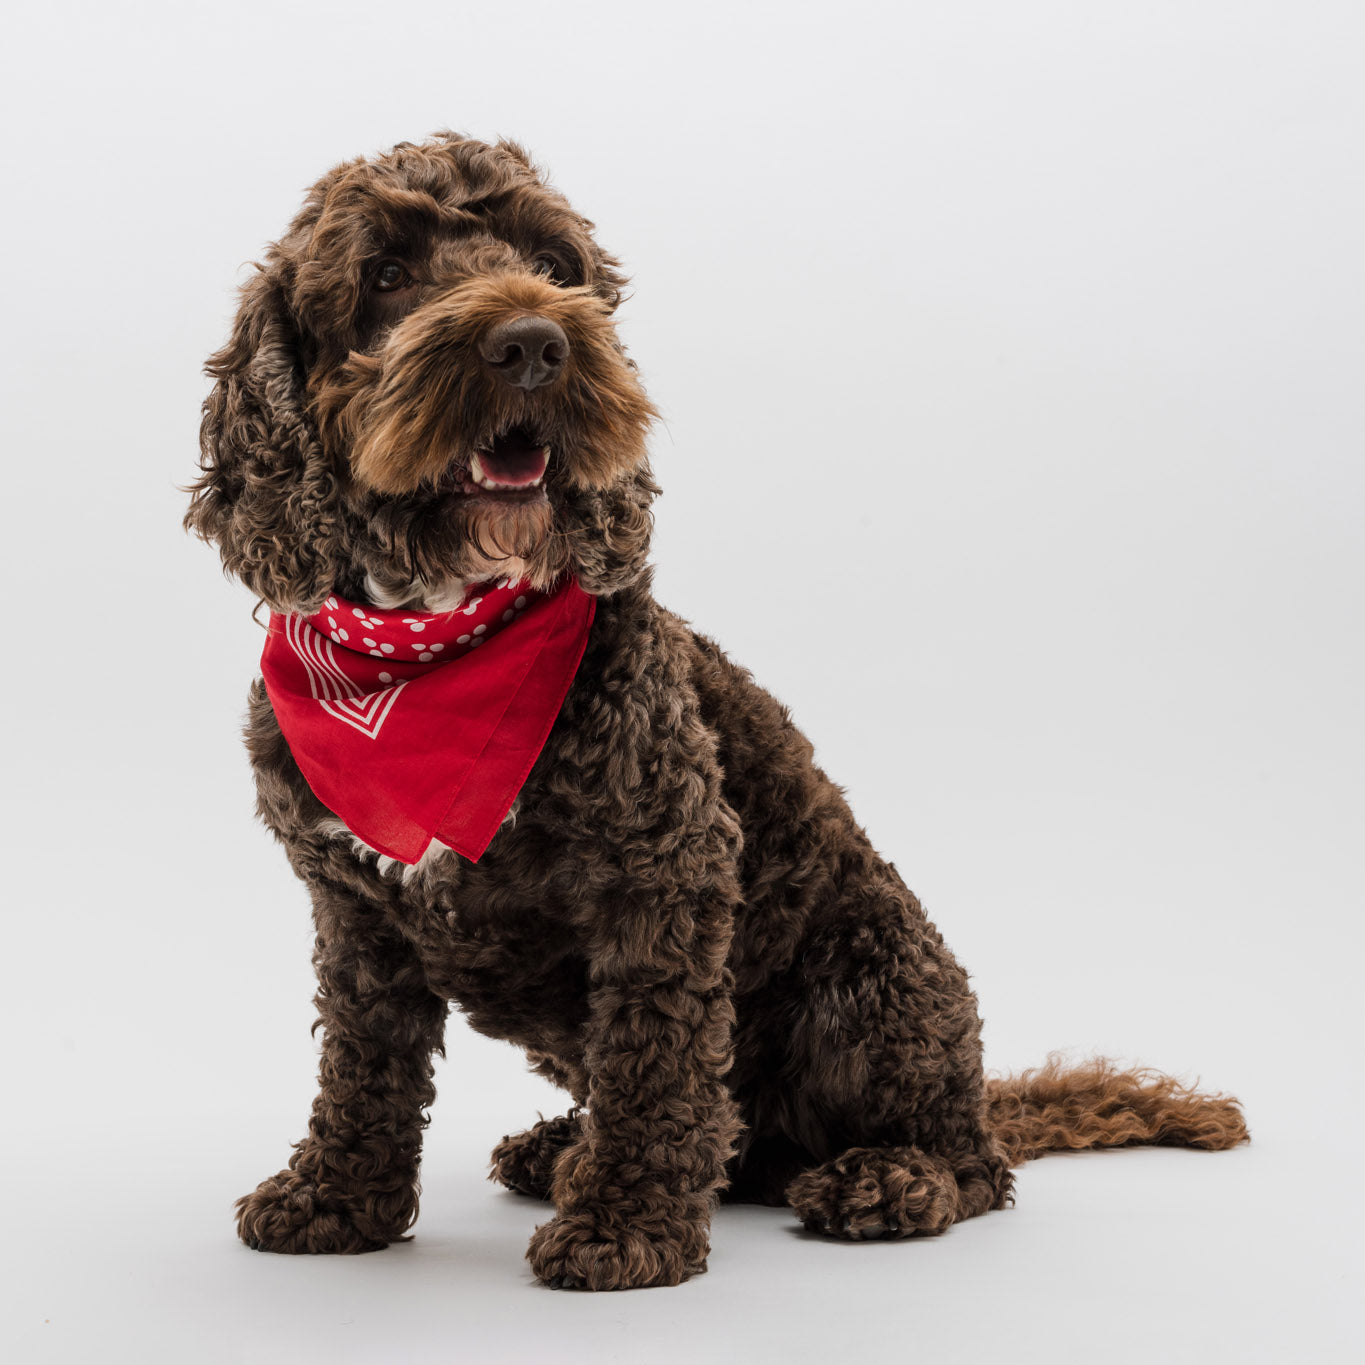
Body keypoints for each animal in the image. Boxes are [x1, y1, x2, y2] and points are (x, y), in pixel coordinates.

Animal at [184, 133, 1250, 1294]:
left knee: (969, 1164)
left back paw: (886, 1179)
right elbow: (363, 1063)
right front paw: (338, 1197)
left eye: (552, 262)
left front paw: (628, 1224)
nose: (534, 344)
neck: (429, 644)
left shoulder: (666, 869)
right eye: (383, 272)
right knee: (742, 1143)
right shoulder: (355, 910)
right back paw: (568, 1148)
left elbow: (657, 1055)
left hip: (870, 976)